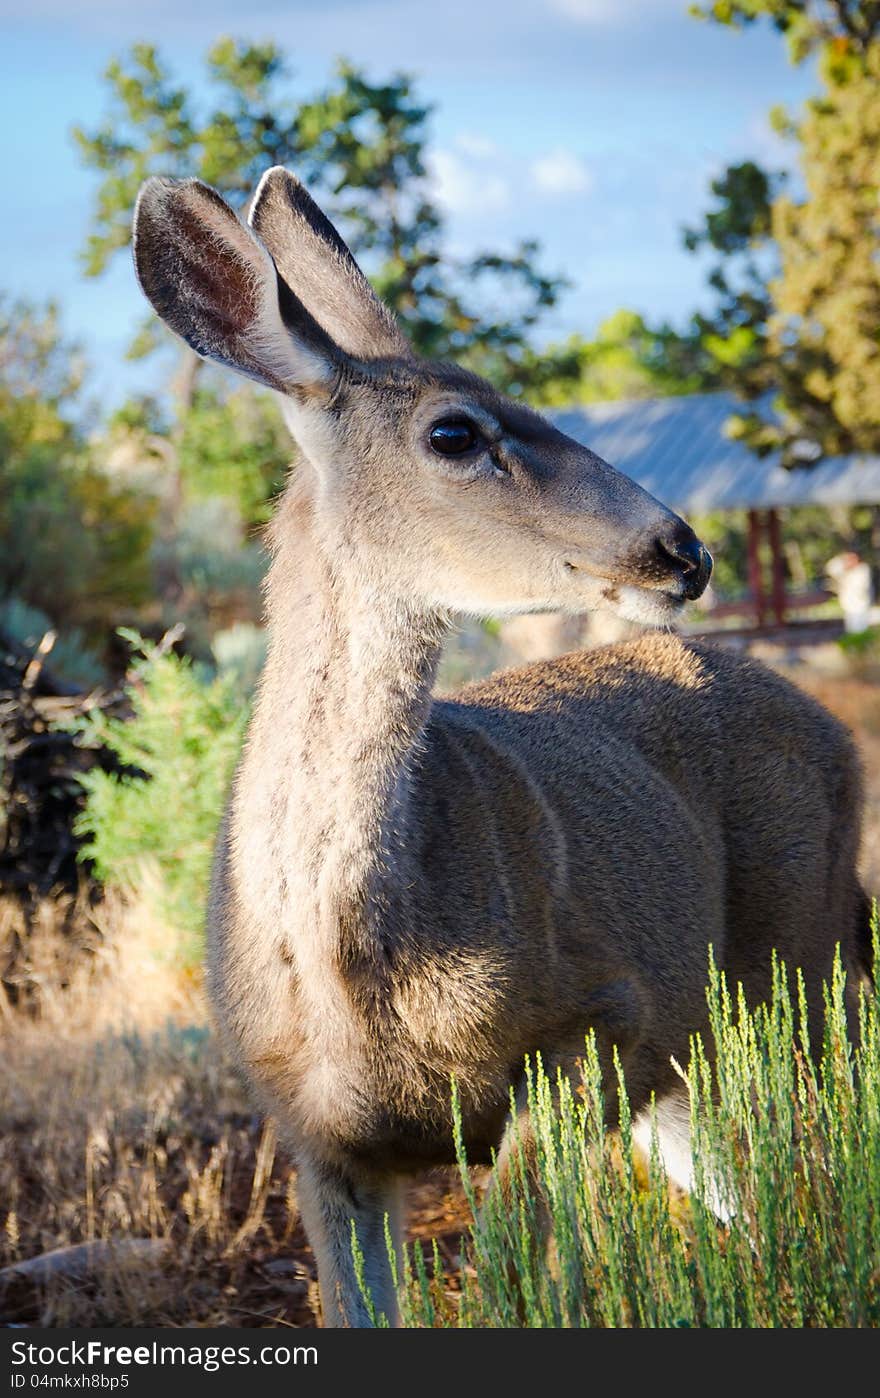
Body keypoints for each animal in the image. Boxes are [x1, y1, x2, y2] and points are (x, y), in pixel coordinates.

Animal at [130, 169, 867, 1325]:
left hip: (807, 960)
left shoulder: (599, 1020)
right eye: (454, 433)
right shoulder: (314, 1134)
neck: (357, 975)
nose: (683, 550)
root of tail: (830, 722)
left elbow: (531, 1274)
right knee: (744, 1196)